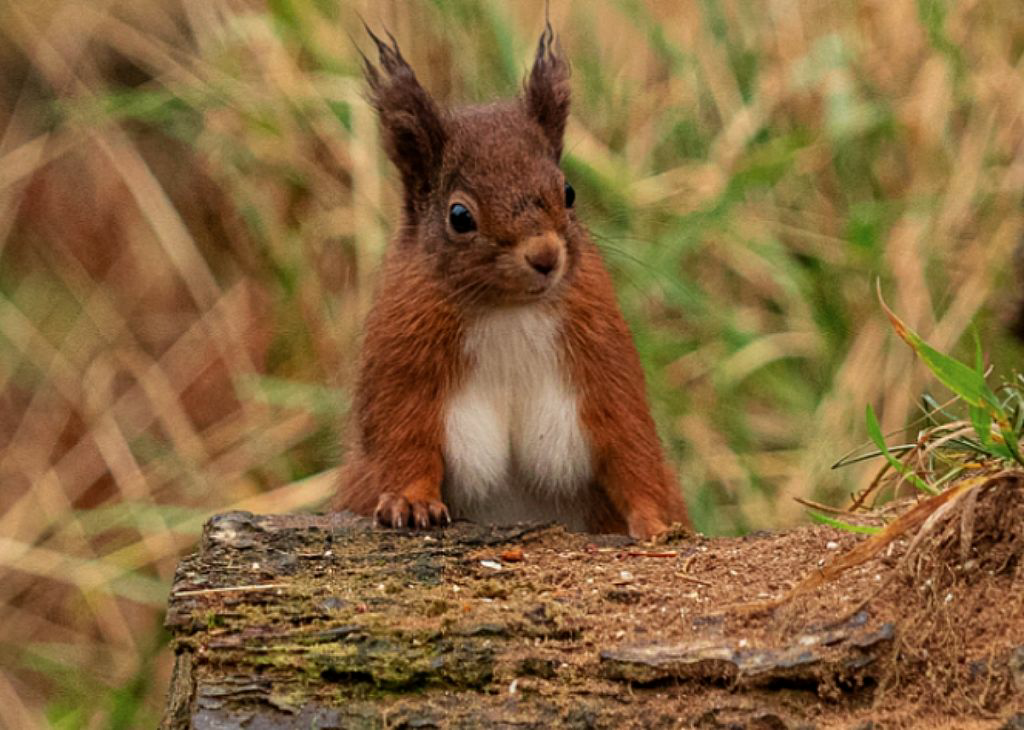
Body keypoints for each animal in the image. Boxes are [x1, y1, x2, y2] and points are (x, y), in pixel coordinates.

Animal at [333, 25, 688, 536]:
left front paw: (656, 523)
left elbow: (631, 448)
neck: (508, 311)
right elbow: (404, 443)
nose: (545, 256)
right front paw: (411, 502)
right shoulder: (403, 364)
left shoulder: (601, 363)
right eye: (459, 216)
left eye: (568, 192)